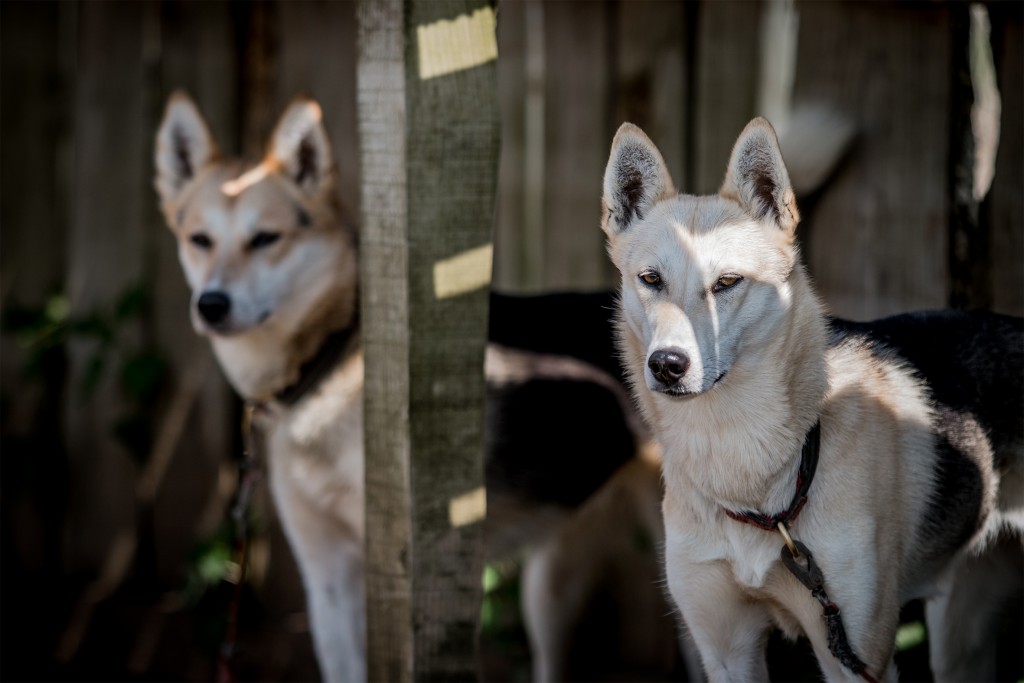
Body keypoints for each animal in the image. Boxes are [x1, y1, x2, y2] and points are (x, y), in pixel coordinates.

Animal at [602, 118, 1019, 683]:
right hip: (962, 637)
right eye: (651, 279)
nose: (667, 364)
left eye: (727, 282)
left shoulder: (856, 656)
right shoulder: (726, 651)